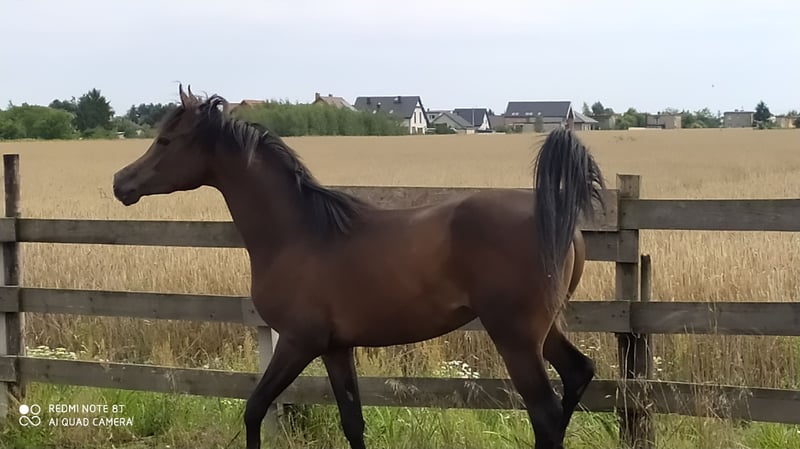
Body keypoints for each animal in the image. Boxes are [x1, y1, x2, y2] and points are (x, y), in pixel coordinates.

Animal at [112, 85, 606, 449]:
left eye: (166, 140)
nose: (121, 183)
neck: (298, 233)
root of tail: (557, 216)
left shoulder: (298, 341)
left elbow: (254, 408)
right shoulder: (335, 348)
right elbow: (352, 421)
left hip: (516, 336)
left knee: (545, 414)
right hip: (544, 328)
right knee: (577, 376)